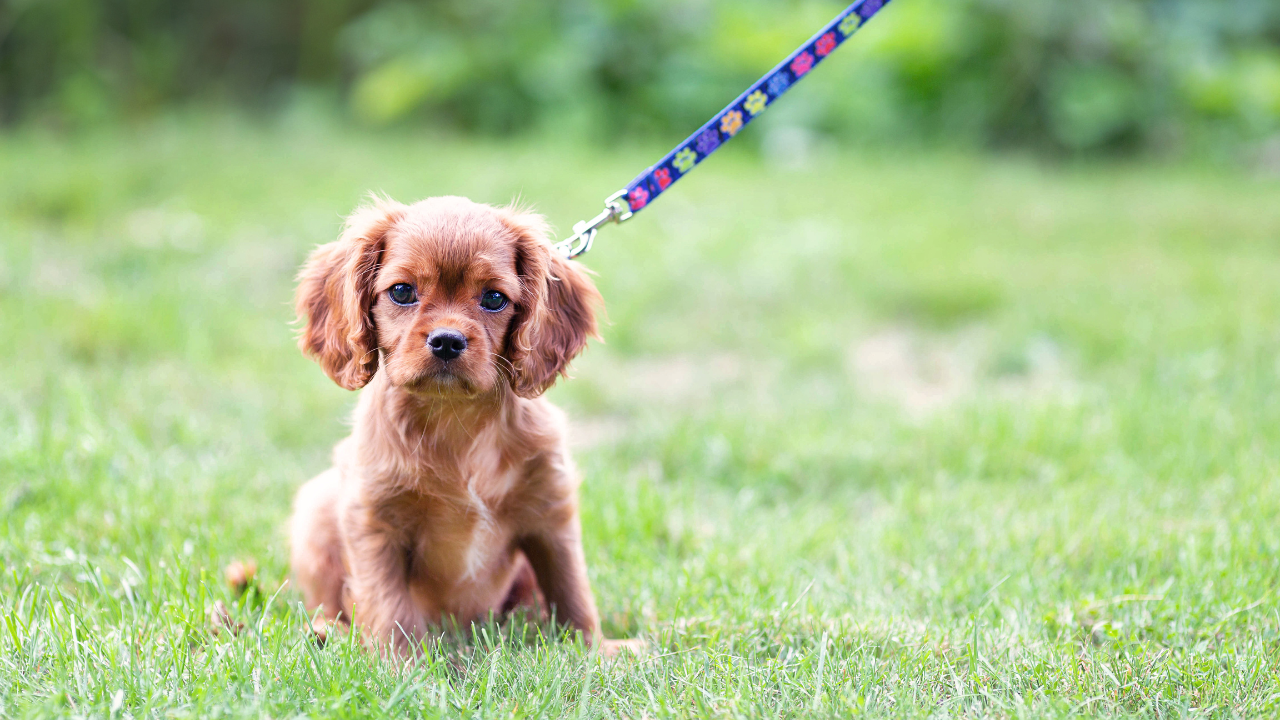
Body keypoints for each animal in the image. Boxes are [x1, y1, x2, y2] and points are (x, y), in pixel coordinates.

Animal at [288, 193, 632, 653]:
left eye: (494, 298)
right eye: (402, 291)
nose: (447, 341)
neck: (454, 416)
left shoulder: (550, 513)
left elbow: (570, 589)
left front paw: (593, 651)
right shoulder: (373, 520)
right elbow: (389, 607)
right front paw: (401, 665)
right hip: (315, 509)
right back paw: (329, 631)